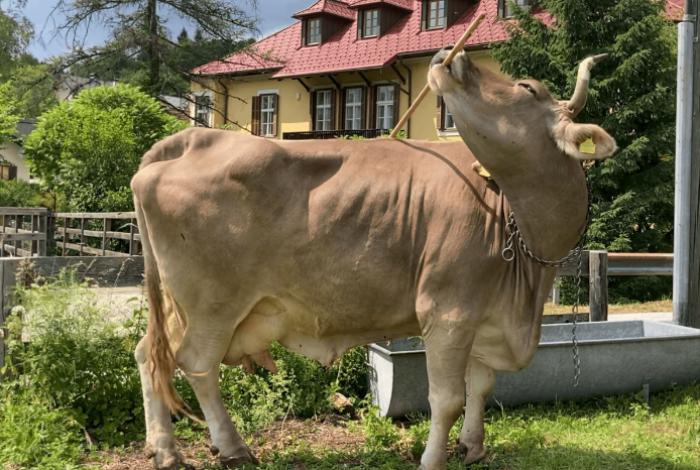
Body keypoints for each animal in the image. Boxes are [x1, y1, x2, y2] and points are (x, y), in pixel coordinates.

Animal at [131, 49, 616, 470]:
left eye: (526, 87)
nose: (453, 56)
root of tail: (191, 138)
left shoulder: (486, 314)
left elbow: (481, 385)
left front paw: (472, 447)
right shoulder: (448, 311)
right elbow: (446, 399)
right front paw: (433, 460)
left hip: (179, 304)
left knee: (150, 356)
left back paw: (163, 448)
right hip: (213, 304)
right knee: (197, 365)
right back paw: (228, 447)